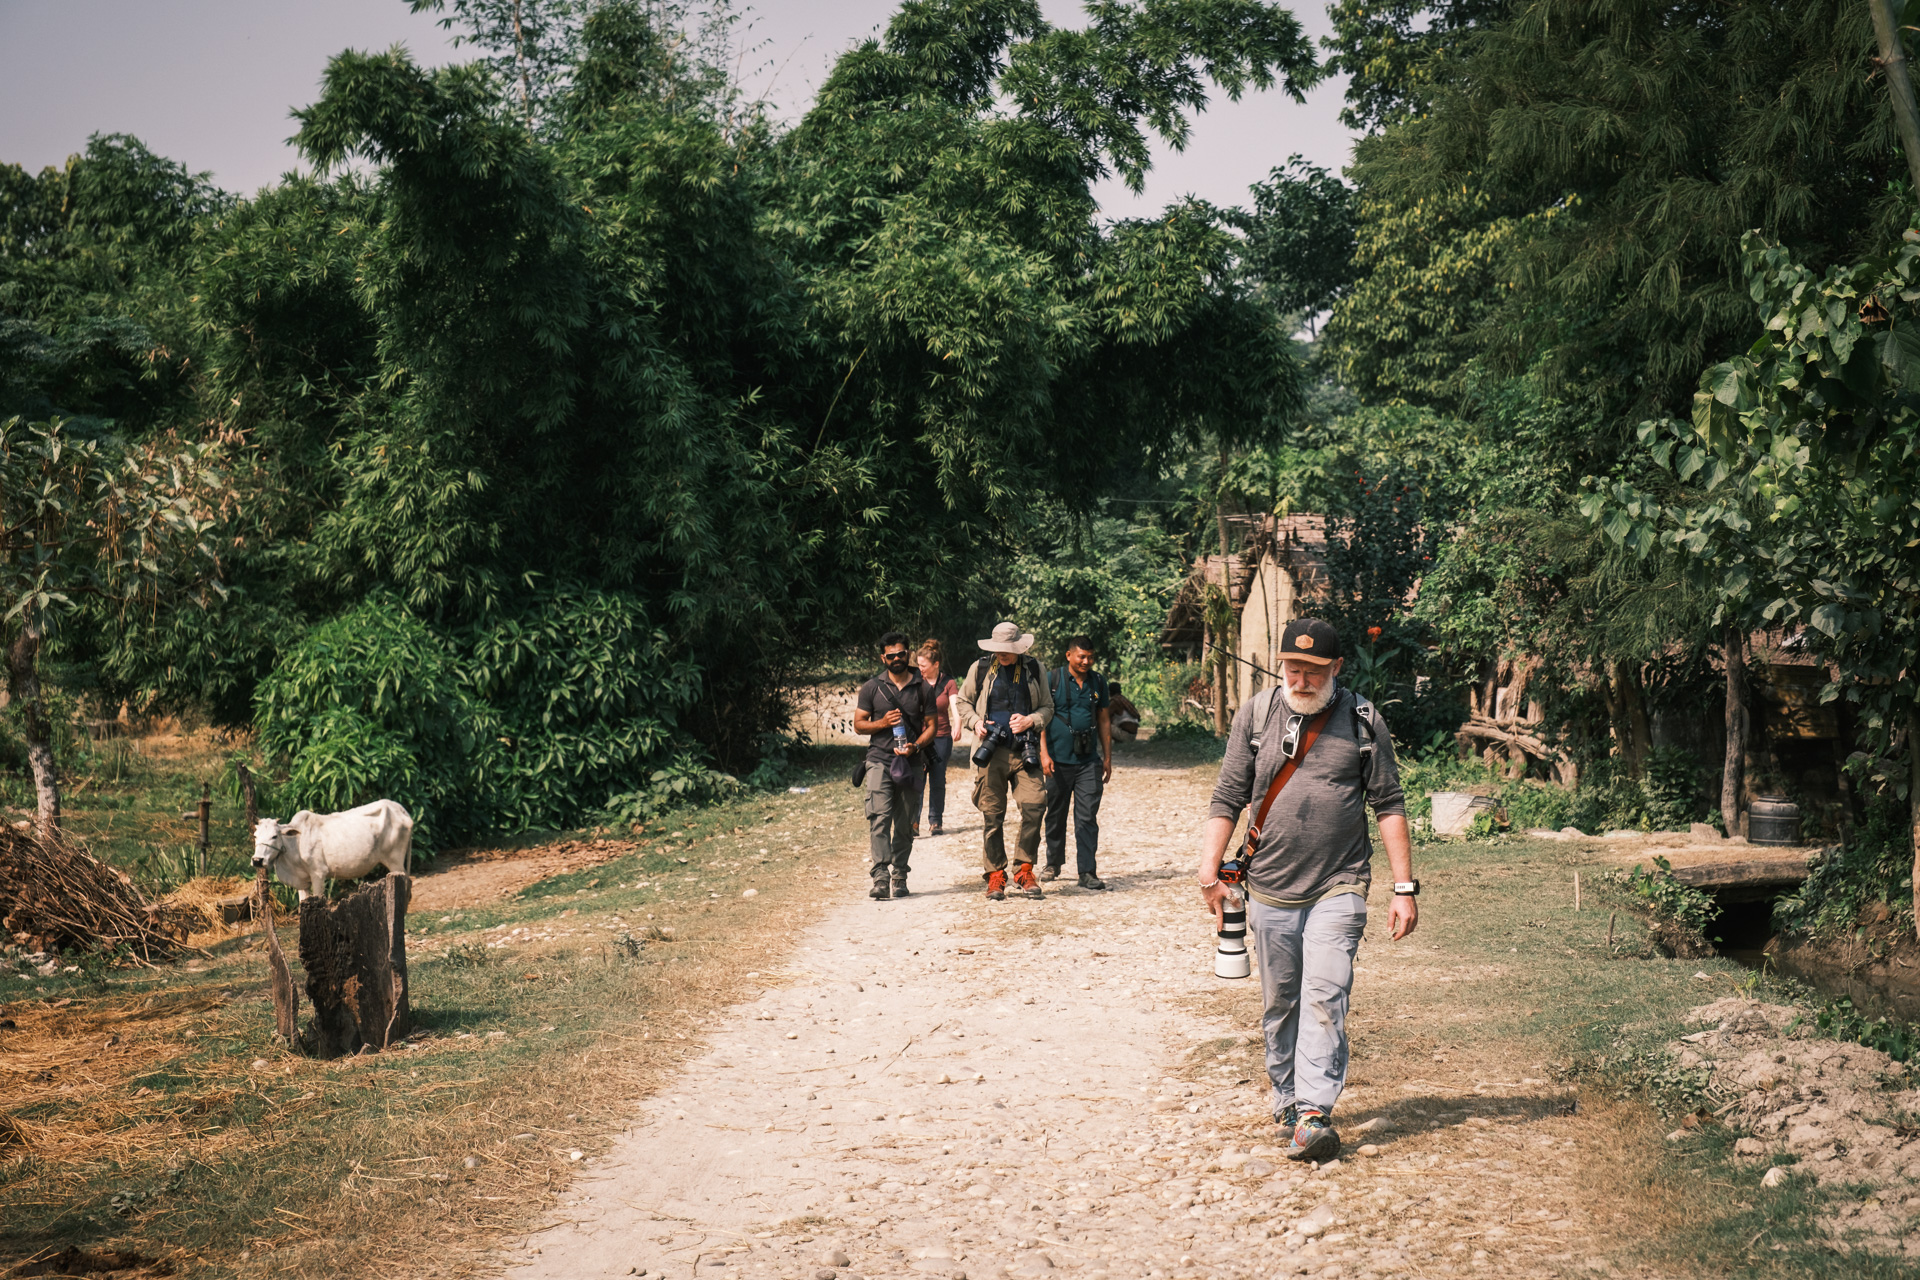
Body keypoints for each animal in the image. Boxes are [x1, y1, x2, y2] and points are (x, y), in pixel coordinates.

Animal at [251, 802, 412, 901]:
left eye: (274, 836)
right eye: (255, 836)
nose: (257, 860)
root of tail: (399, 809)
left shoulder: (318, 874)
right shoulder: (302, 883)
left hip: (395, 861)